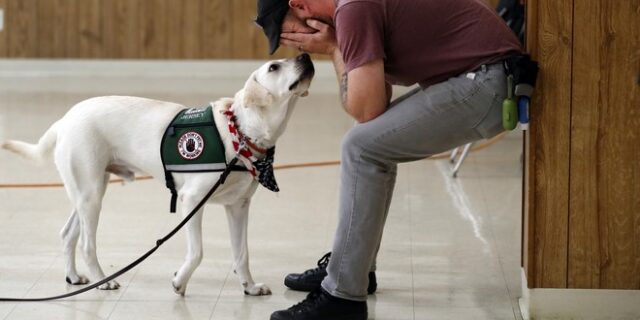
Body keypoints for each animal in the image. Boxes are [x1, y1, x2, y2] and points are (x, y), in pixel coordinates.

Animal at [1, 53, 316, 296]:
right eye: (273, 67)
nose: (306, 55)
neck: (239, 130)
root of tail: (65, 119)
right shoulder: (192, 201)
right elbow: (197, 252)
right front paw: (179, 282)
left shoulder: (238, 207)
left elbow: (242, 254)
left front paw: (249, 287)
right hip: (91, 195)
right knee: (87, 245)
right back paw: (103, 281)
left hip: (88, 191)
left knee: (68, 235)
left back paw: (74, 277)